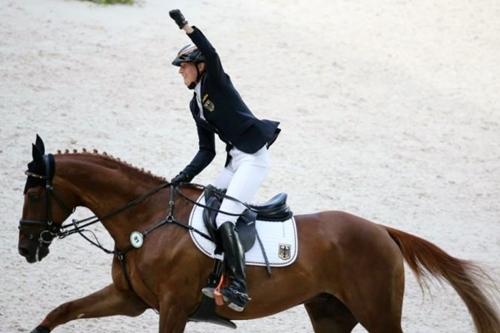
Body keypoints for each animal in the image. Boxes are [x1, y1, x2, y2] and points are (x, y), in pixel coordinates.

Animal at [17, 136, 498, 332]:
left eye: (35, 193)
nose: (24, 248)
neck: (146, 220)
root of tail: (382, 230)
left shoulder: (172, 307)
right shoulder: (130, 299)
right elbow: (61, 311)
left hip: (377, 313)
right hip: (331, 314)